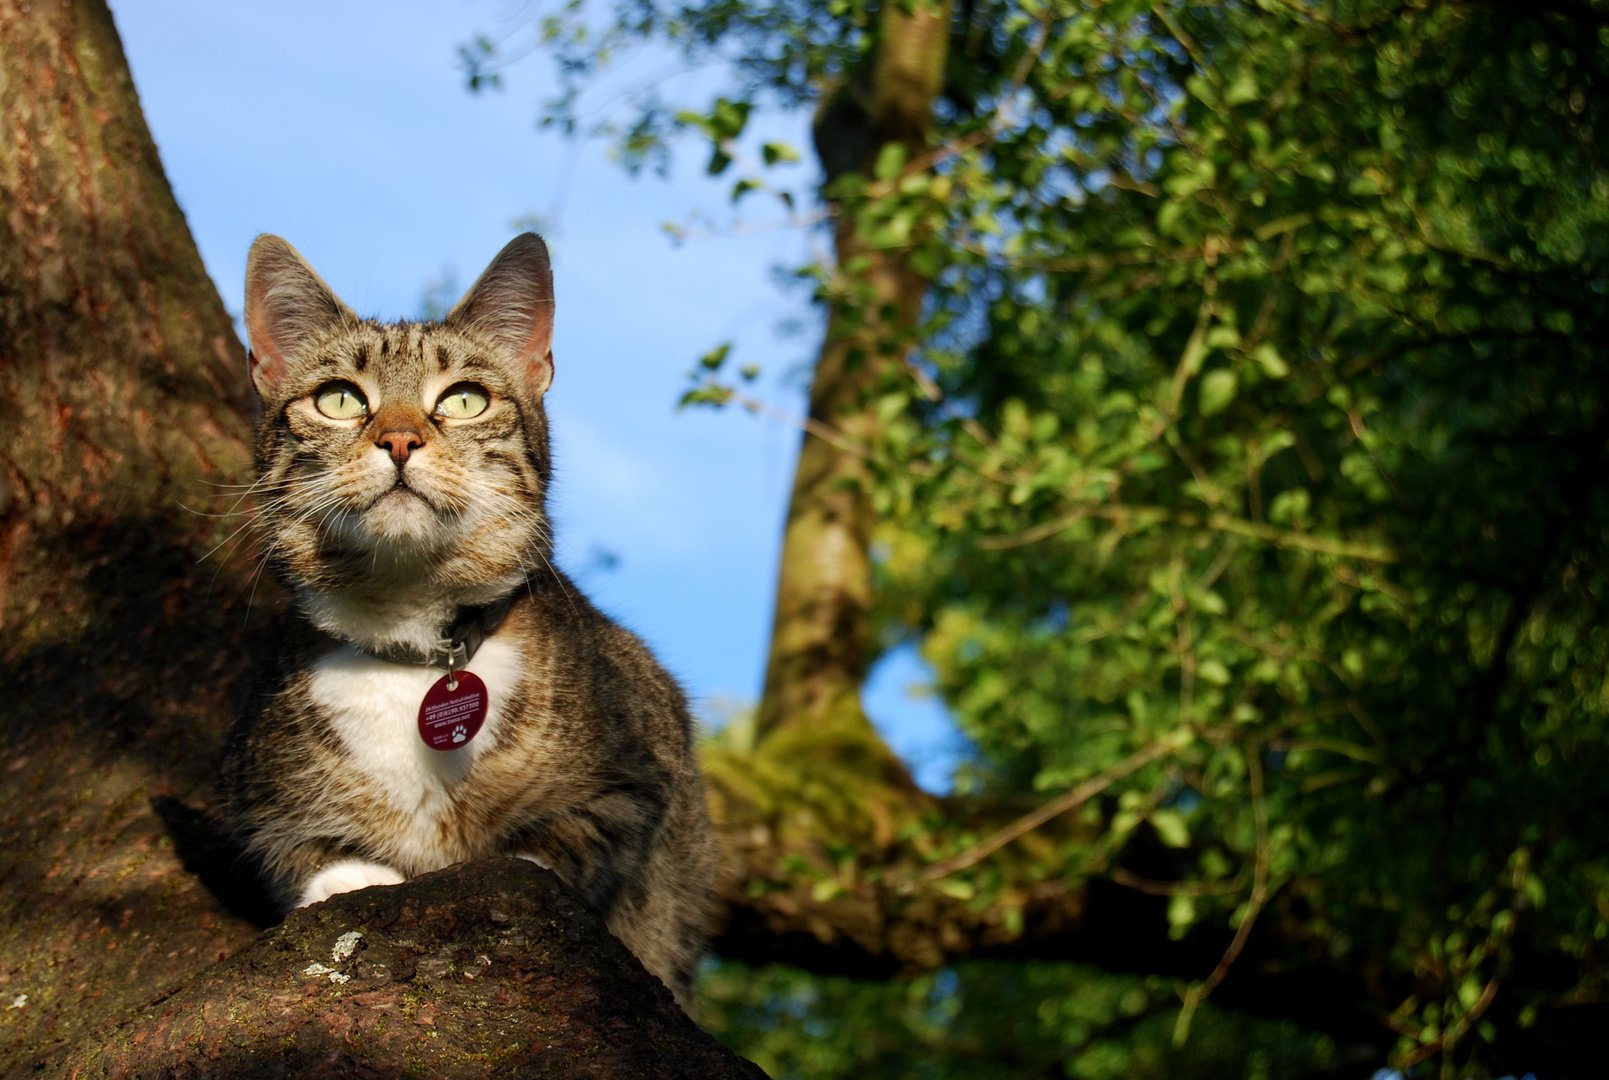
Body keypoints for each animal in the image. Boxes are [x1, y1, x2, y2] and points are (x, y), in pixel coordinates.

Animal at [222, 231, 717, 1010]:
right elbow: (296, 850)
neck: (414, 645)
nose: (398, 439)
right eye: (339, 399)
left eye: (462, 399)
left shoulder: (640, 775)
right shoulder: (254, 796)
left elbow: (562, 845)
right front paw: (351, 880)